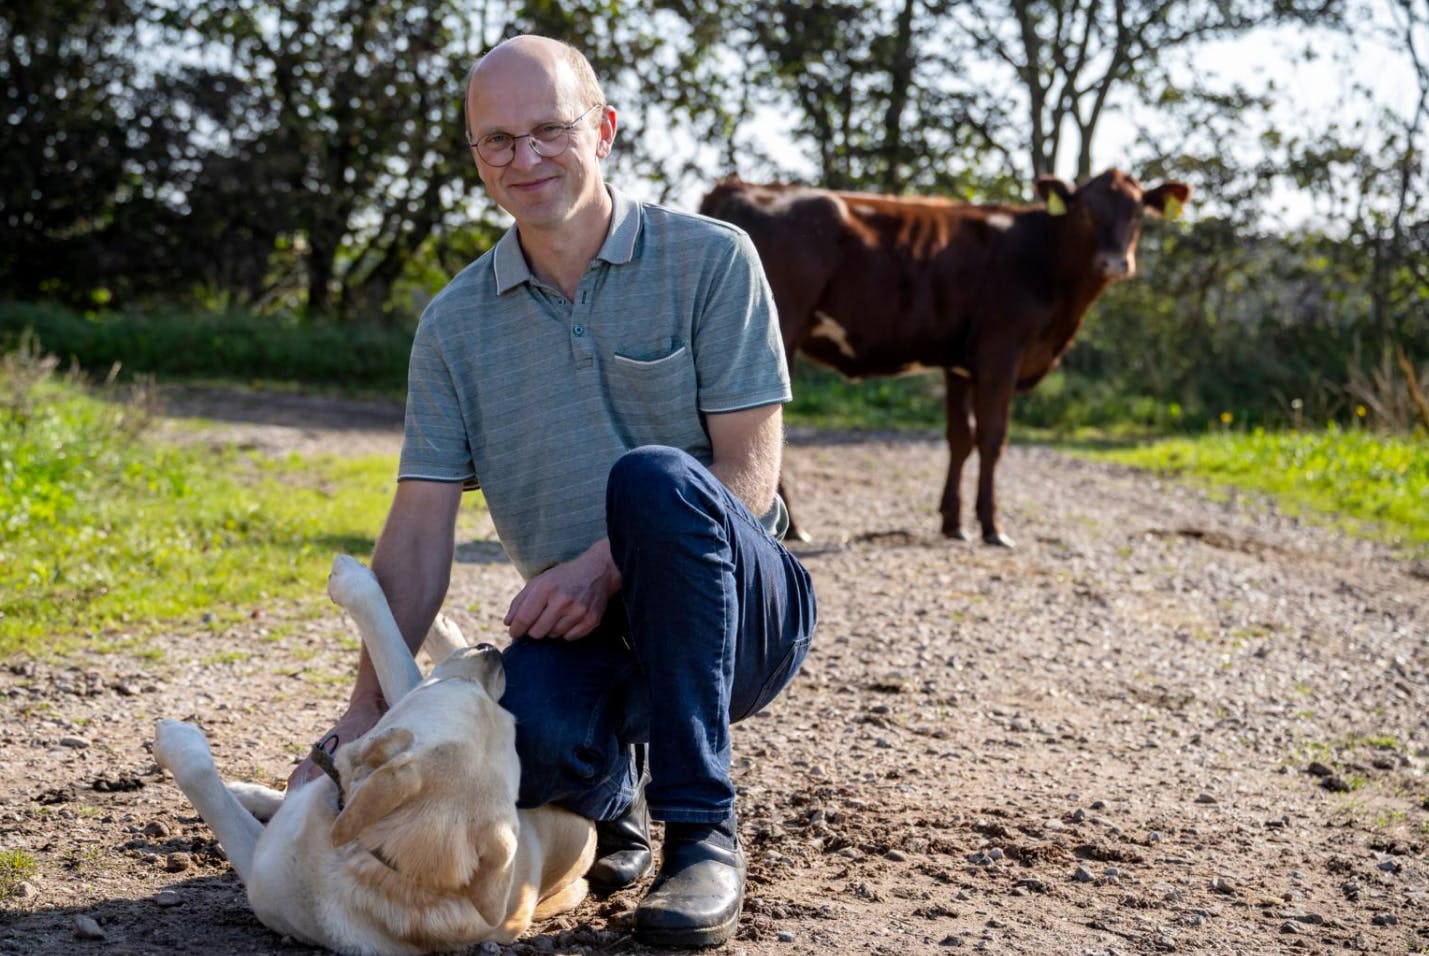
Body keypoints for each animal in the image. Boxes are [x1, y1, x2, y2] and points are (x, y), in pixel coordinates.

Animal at [157, 554, 597, 948]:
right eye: (508, 721)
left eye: (457, 688)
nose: (491, 652)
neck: (390, 859)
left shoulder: (259, 868)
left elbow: (204, 782)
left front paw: (177, 739)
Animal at [697, 167, 1188, 543]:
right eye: (1087, 210)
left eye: (1138, 211)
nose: (1115, 262)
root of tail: (740, 186)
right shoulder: (1000, 352)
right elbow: (992, 437)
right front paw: (992, 527)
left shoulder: (961, 363)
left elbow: (960, 438)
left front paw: (953, 522)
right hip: (782, 331)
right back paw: (794, 526)